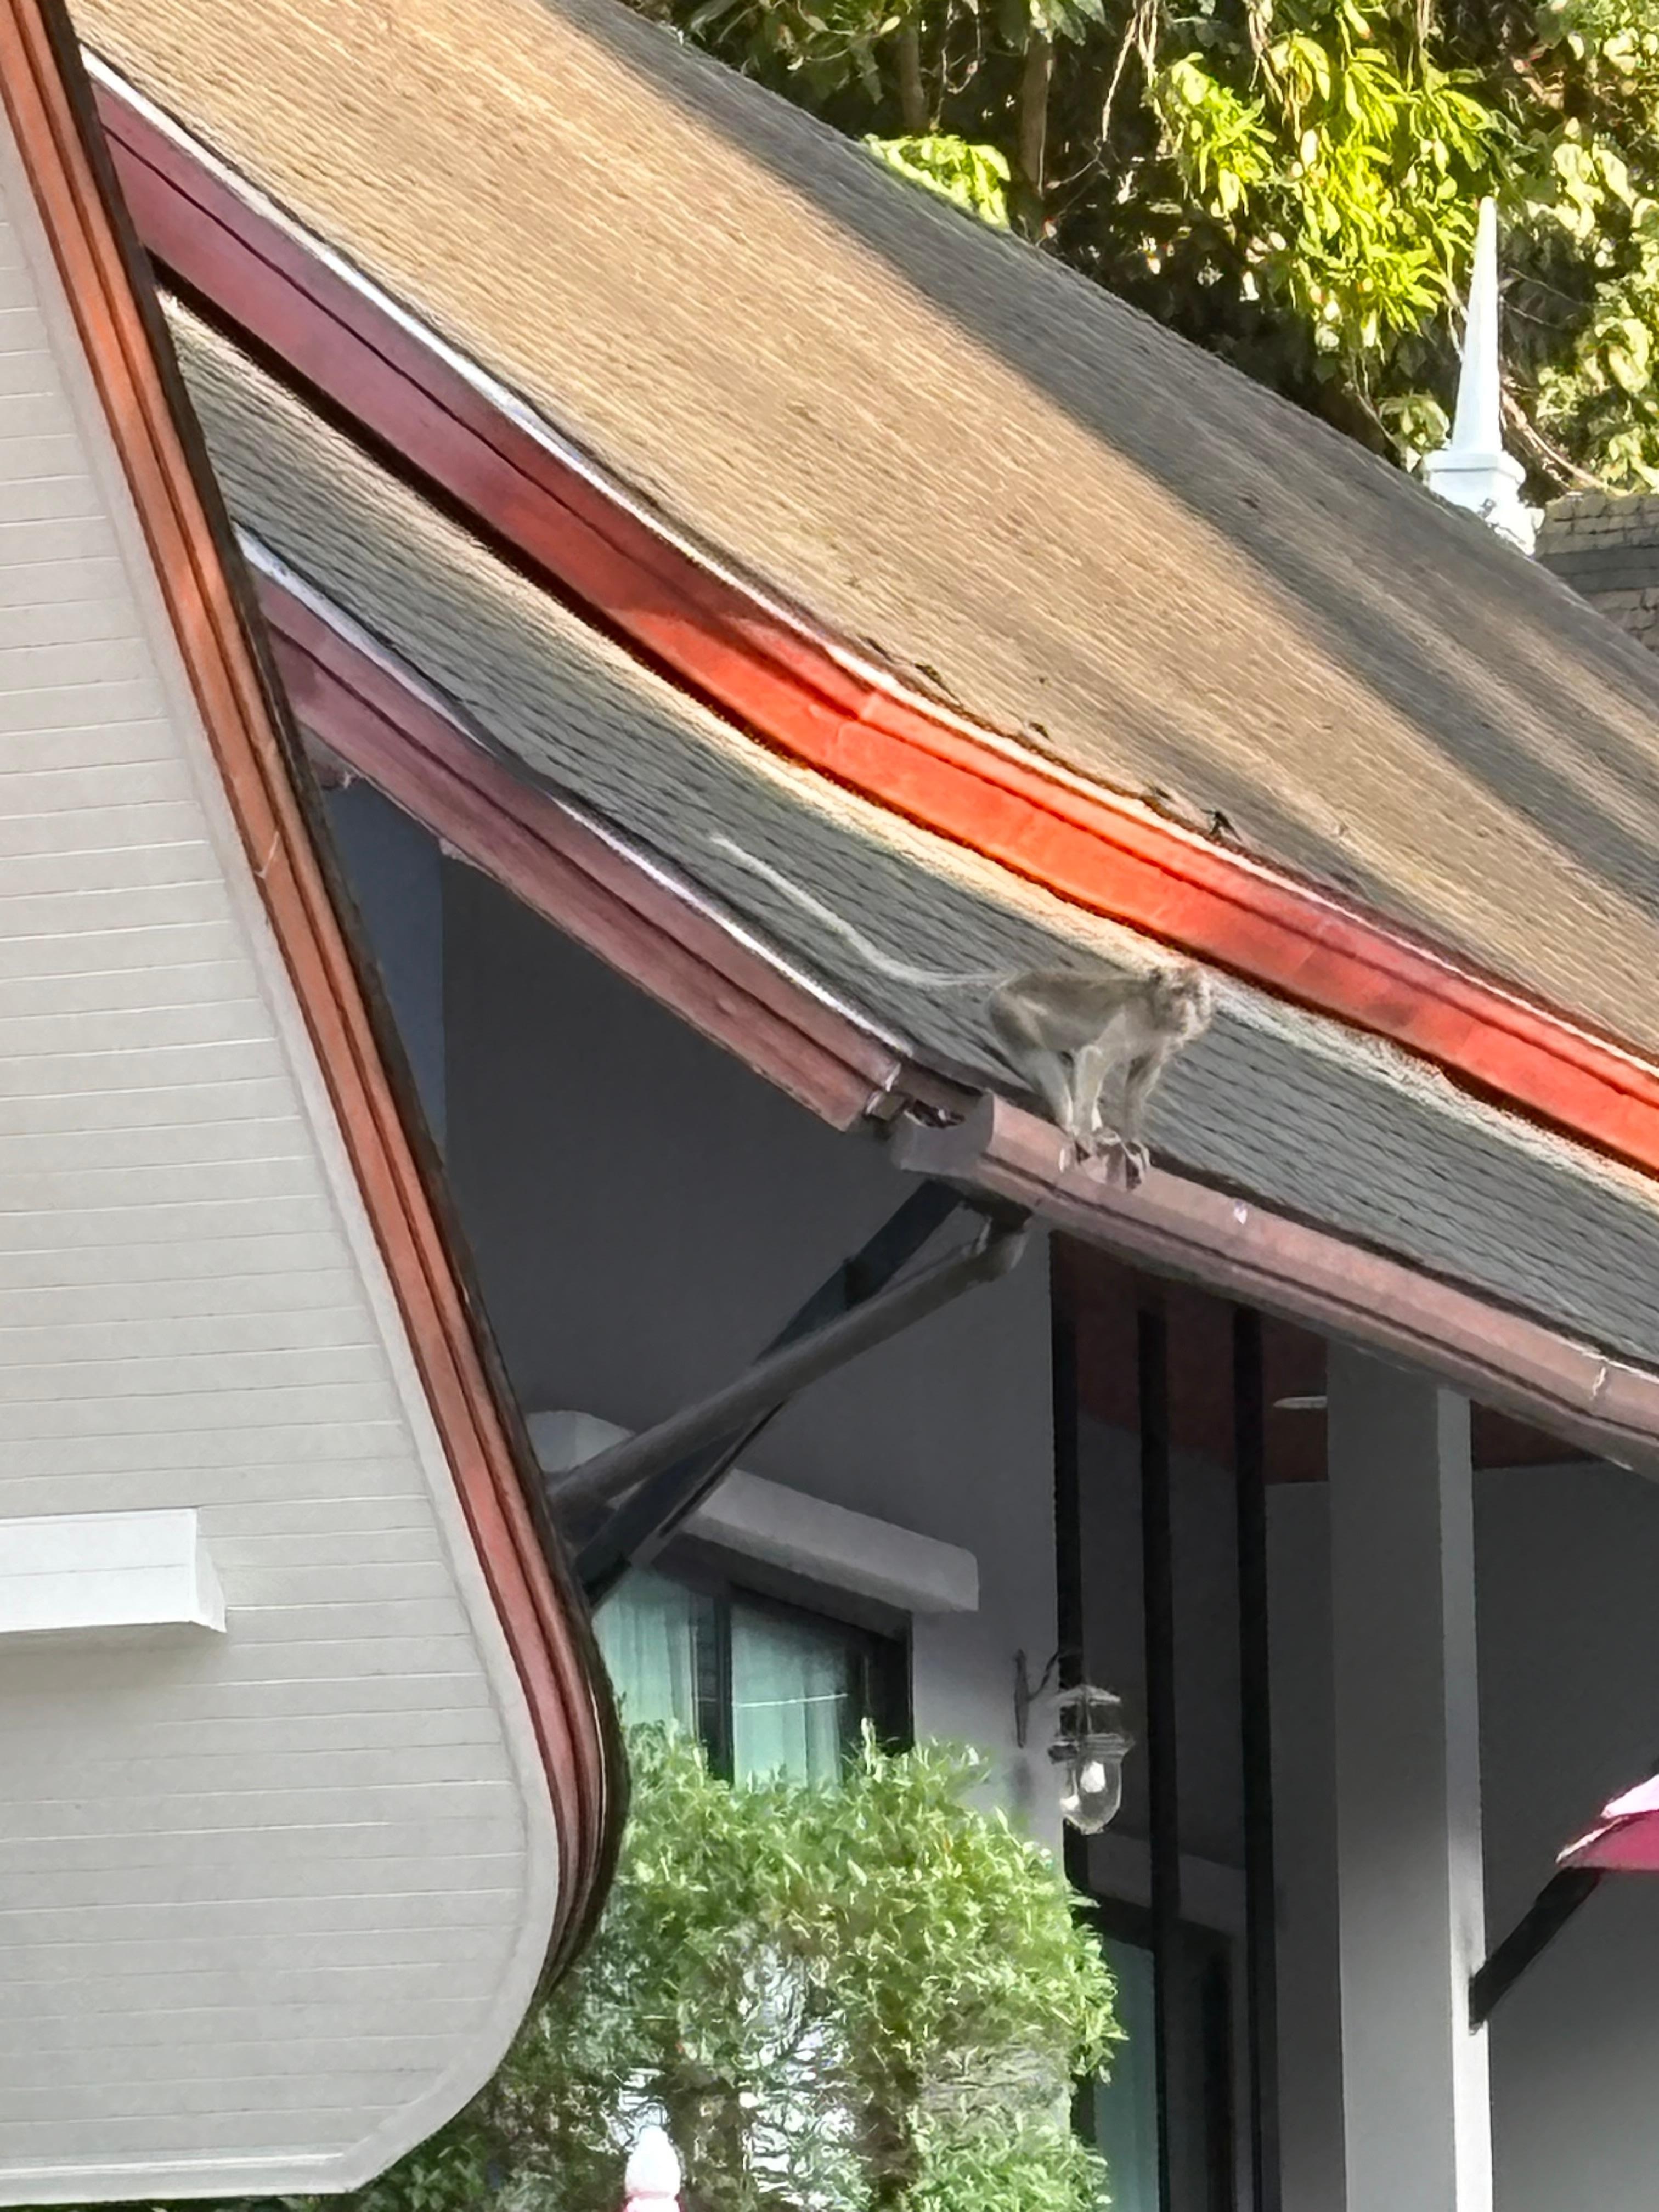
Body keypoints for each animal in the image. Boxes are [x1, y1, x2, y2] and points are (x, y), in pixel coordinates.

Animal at [709, 836, 1214, 1185]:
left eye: (1197, 998)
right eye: (1179, 993)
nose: (1189, 1009)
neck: (1157, 1016)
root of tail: (1013, 978)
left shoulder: (1164, 1042)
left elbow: (1137, 1084)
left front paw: (1130, 1142)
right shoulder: (1132, 1018)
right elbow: (1095, 1058)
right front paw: (1087, 1134)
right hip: (1008, 1013)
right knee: (1050, 1059)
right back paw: (1074, 1126)